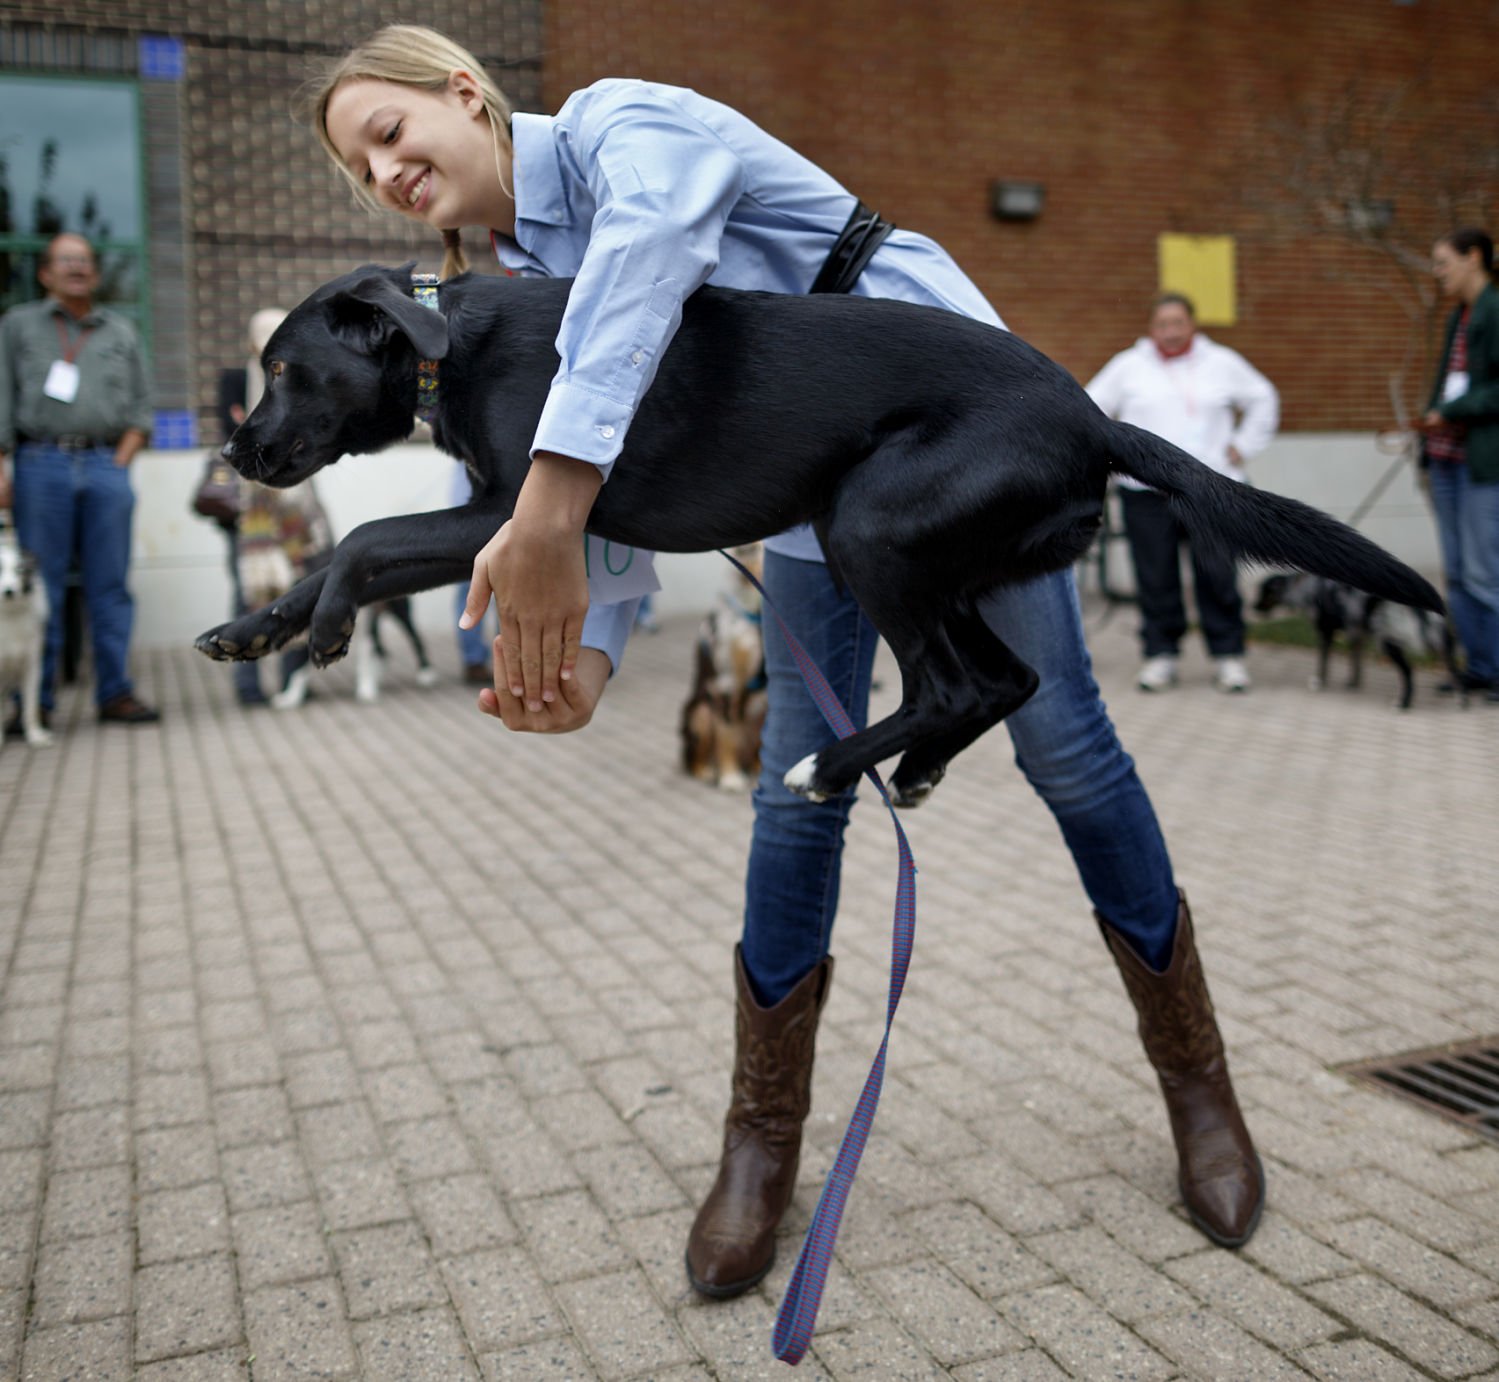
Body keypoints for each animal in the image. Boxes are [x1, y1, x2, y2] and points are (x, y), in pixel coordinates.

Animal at [686, 542, 767, 791]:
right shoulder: (726, 682)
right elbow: (727, 734)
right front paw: (730, 777)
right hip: (700, 712)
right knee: (695, 758)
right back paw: (708, 770)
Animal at [1253, 569, 1451, 710]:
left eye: (1264, 592)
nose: (1252, 607)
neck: (1305, 588)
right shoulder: (1356, 634)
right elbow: (1355, 663)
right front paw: (1353, 683)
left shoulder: (1326, 633)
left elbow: (1323, 662)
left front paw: (1319, 682)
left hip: (1388, 641)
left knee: (1408, 672)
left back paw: (1404, 702)